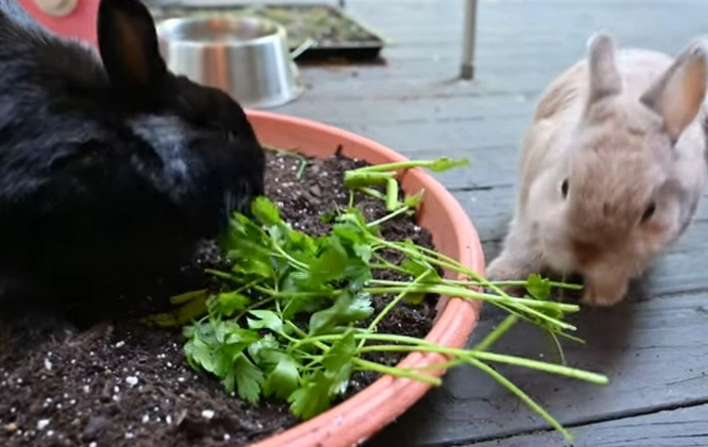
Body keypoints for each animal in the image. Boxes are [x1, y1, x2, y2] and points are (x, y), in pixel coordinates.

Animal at [485, 31, 708, 307]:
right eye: (564, 187)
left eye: (651, 211)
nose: (585, 255)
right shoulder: (528, 211)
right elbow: (523, 246)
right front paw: (500, 279)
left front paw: (601, 298)